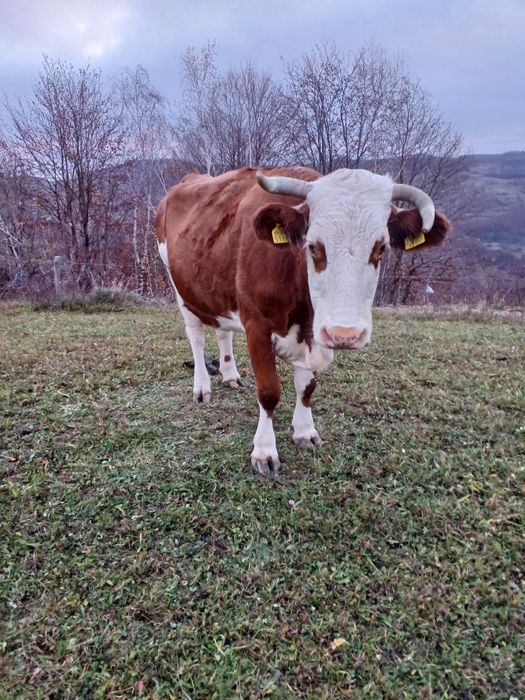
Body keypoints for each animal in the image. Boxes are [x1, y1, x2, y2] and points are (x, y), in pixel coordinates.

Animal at [156, 166, 451, 475]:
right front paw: (265, 451)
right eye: (312, 246)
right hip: (180, 288)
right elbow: (269, 391)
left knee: (223, 332)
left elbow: (307, 387)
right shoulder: (257, 326)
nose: (344, 334)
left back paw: (230, 376)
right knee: (196, 337)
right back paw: (202, 388)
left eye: (381, 248)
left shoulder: (313, 333)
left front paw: (305, 432)